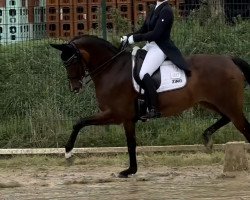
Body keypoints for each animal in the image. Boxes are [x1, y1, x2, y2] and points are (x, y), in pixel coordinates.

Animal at [50, 35, 250, 177]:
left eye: (72, 61)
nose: (75, 88)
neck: (112, 69)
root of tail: (229, 60)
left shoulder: (116, 114)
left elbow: (81, 123)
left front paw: (68, 153)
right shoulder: (124, 118)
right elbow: (129, 142)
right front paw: (131, 170)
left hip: (228, 103)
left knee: (244, 128)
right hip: (212, 102)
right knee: (226, 118)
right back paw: (207, 137)